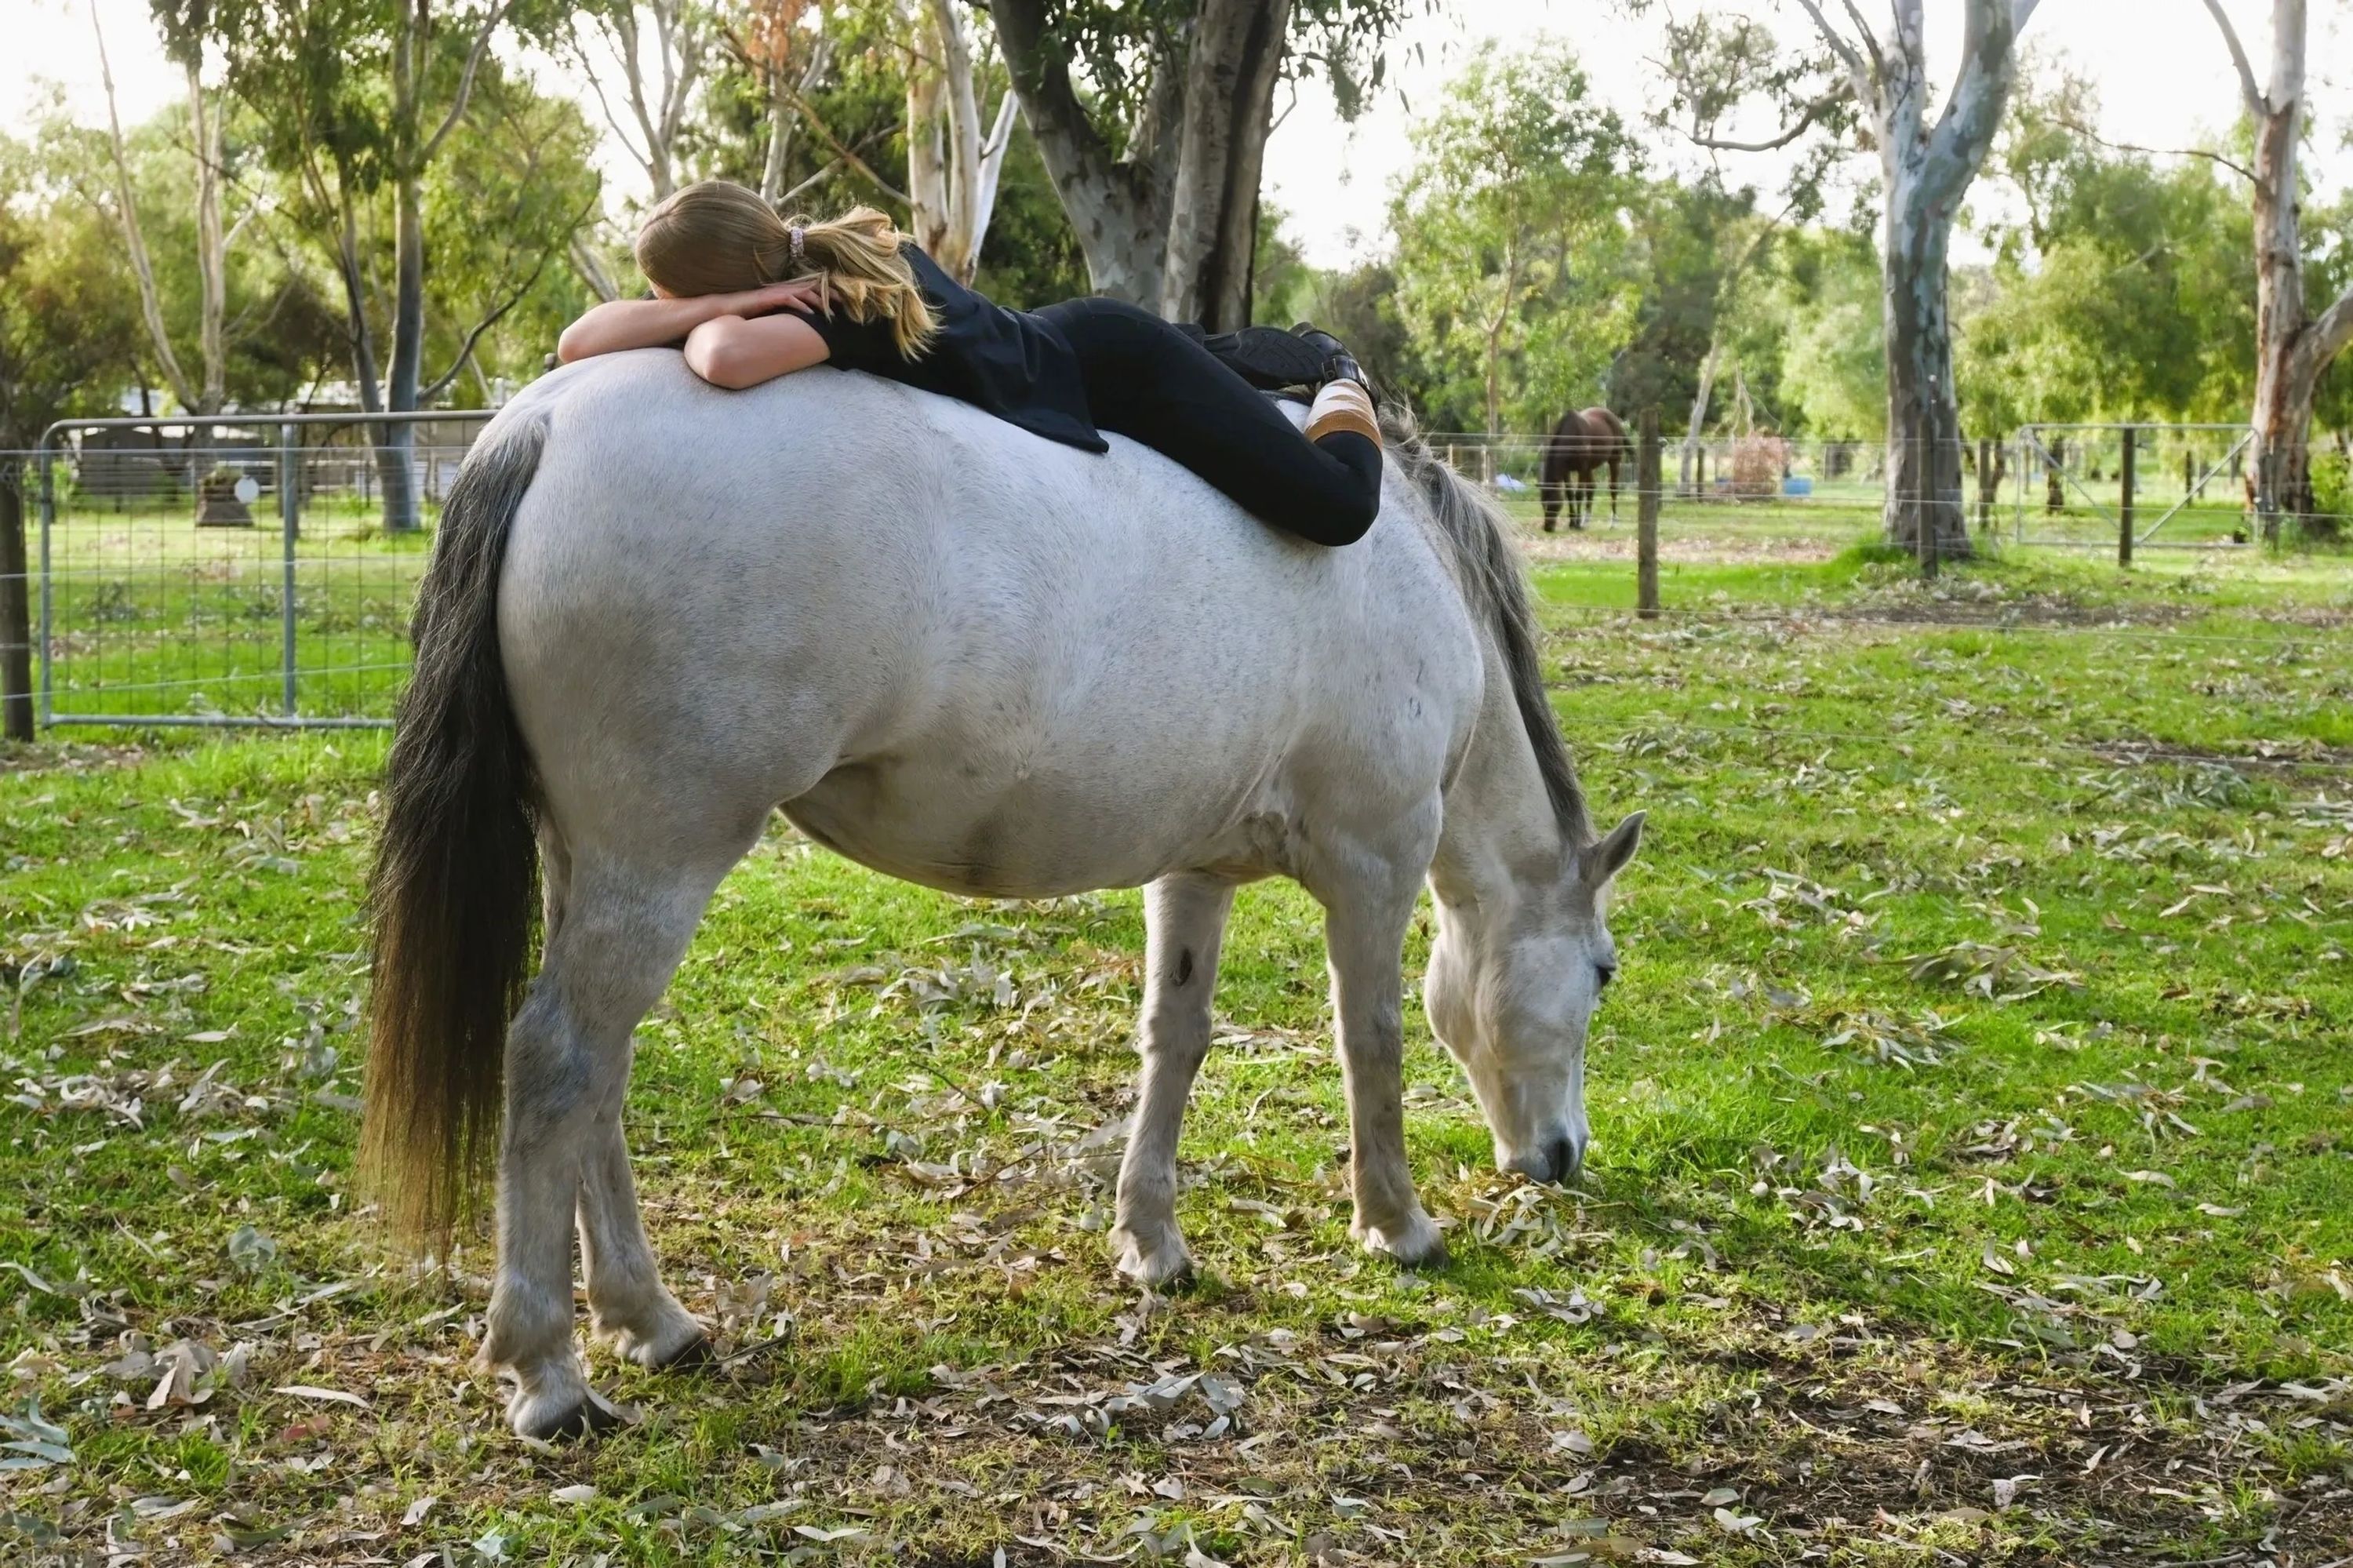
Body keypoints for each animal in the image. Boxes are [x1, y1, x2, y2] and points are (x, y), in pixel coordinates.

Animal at [1540, 407, 1631, 531]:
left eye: (1552, 502)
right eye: (1542, 503)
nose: (1548, 528)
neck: (1573, 435)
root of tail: (1615, 419)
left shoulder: (1581, 469)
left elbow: (1579, 494)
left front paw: (1577, 524)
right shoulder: (1566, 471)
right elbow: (1570, 494)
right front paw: (1572, 523)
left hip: (1614, 461)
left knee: (1613, 489)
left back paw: (1613, 522)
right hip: (1590, 468)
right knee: (1591, 488)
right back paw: (1586, 520)